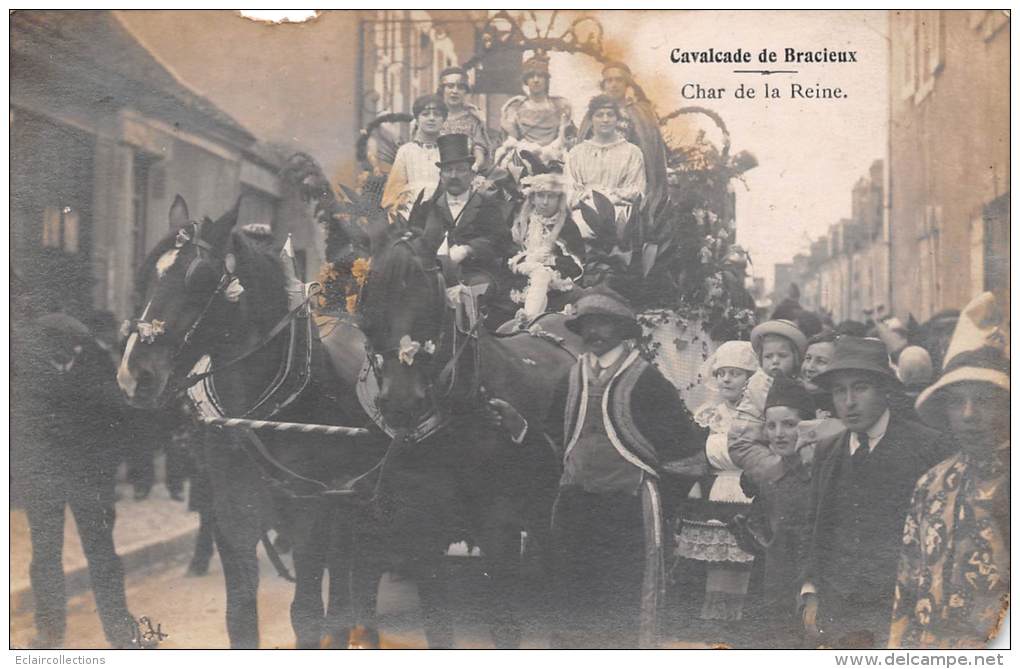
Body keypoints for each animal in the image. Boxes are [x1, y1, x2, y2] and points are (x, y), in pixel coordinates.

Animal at [114, 194, 379, 648]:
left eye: (200, 278)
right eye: (146, 274)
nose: (134, 375)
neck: (257, 415)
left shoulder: (310, 514)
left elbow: (307, 615)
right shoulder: (233, 515)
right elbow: (239, 617)